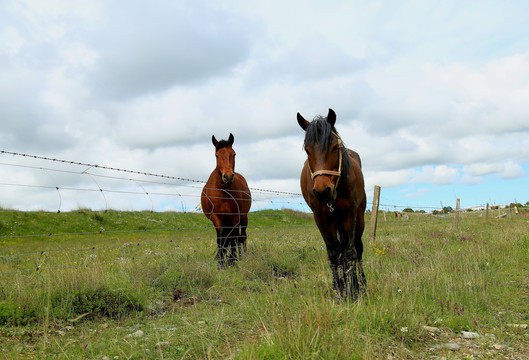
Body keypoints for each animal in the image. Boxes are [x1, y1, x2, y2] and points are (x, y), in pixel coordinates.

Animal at [201, 132, 253, 268]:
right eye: (217, 155)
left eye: (233, 154)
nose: (228, 177)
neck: (223, 192)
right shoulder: (217, 218)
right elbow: (221, 239)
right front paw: (221, 263)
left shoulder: (235, 216)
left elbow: (233, 237)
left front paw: (232, 260)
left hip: (243, 218)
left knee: (241, 237)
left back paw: (242, 257)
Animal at [296, 108, 368, 300]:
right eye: (307, 150)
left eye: (335, 147)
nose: (322, 191)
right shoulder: (322, 219)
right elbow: (334, 254)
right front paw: (339, 291)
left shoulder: (349, 214)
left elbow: (350, 253)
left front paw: (355, 290)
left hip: (359, 218)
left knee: (357, 249)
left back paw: (363, 284)